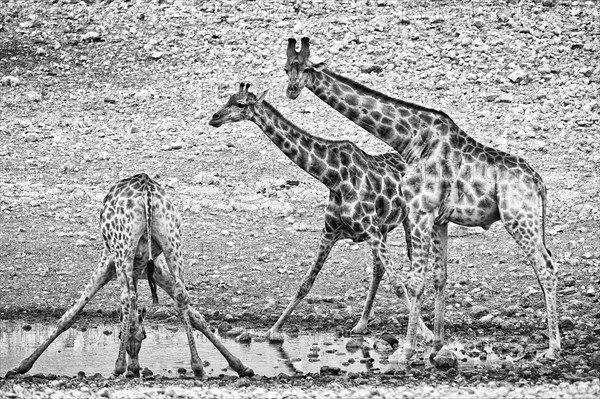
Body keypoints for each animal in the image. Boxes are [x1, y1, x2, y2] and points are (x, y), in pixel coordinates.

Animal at [6, 176, 253, 382]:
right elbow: (196, 316)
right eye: (144, 335)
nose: (135, 368)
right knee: (182, 294)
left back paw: (117, 367)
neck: (139, 270)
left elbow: (70, 315)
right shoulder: (155, 270)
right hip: (173, 240)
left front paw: (21, 366)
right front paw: (239, 366)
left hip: (122, 247)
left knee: (127, 297)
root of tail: (147, 190)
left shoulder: (108, 263)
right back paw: (198, 367)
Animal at [209, 83, 434, 344]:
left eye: (241, 104)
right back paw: (361, 324)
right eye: (228, 98)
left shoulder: (370, 231)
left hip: (408, 222)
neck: (333, 178)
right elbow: (305, 283)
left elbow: (398, 284)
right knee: (378, 270)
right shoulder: (331, 233)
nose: (214, 118)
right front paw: (271, 330)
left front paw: (426, 333)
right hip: (384, 228)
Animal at [284, 38, 560, 366]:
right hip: (527, 220)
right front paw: (438, 348)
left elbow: (415, 281)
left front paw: (406, 352)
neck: (410, 139)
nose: (291, 89)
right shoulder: (439, 219)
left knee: (546, 267)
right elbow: (440, 277)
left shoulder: (420, 212)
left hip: (518, 218)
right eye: (286, 67)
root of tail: (539, 182)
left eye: (305, 68)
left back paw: (553, 349)